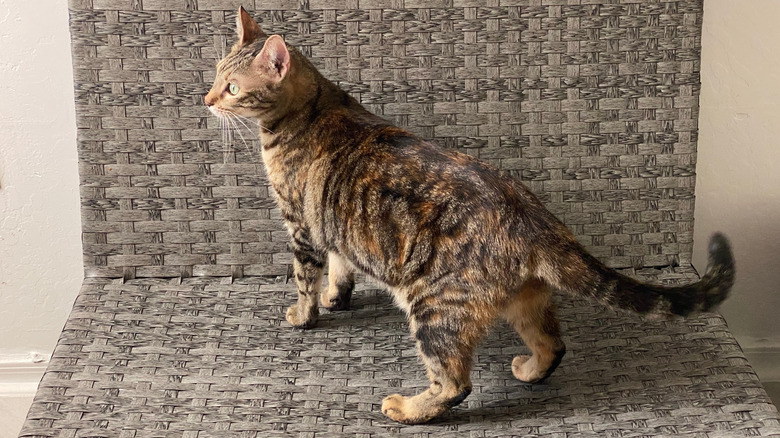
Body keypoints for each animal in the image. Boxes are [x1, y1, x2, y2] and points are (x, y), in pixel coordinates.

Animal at [204, 6, 736, 424]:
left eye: (230, 87)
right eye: (213, 76)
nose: (205, 100)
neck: (312, 109)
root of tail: (533, 219)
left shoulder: (301, 225)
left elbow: (305, 278)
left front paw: (304, 314)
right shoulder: (329, 225)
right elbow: (341, 265)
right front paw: (336, 297)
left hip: (435, 308)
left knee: (456, 384)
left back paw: (409, 408)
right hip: (525, 298)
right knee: (553, 344)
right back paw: (529, 371)